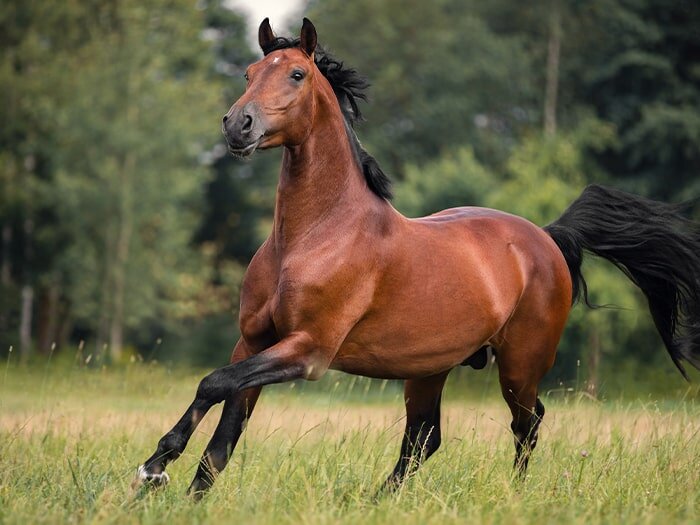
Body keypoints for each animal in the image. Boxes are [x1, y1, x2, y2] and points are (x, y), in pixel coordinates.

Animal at [133, 18, 700, 498]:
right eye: (250, 74)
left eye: (296, 73)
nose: (238, 125)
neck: (314, 237)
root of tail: (546, 237)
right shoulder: (253, 341)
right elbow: (223, 432)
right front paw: (174, 488)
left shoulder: (308, 351)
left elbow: (213, 385)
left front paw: (153, 469)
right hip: (429, 369)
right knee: (425, 438)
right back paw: (377, 501)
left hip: (520, 364)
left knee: (528, 422)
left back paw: (514, 495)